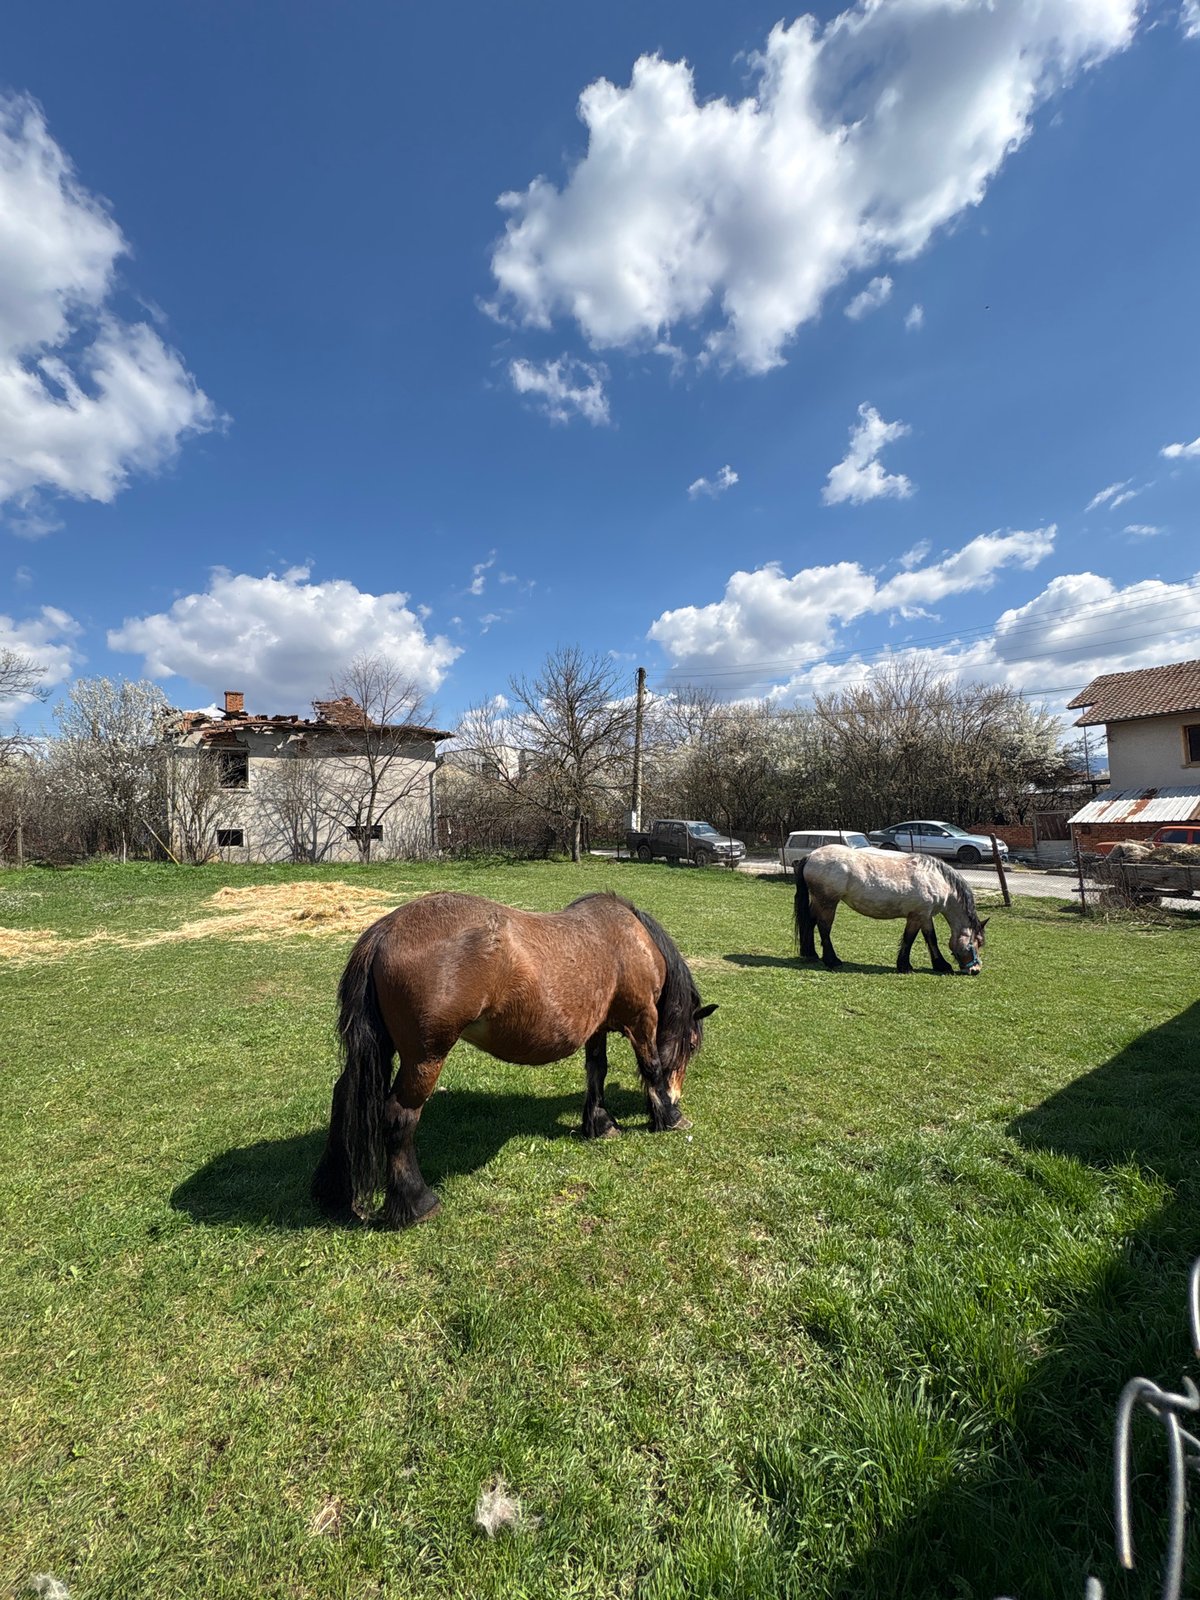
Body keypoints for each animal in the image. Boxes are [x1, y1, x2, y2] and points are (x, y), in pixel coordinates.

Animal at [311, 890, 717, 1228]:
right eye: (692, 1043)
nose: (677, 1096)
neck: (631, 939)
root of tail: (385, 931)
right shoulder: (642, 1018)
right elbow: (651, 1067)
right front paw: (669, 1116)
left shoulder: (597, 1025)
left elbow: (596, 1072)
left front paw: (601, 1123)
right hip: (425, 1057)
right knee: (399, 1116)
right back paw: (417, 1202)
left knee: (344, 1094)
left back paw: (333, 1193)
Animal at [793, 845, 988, 975]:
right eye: (977, 942)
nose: (976, 970)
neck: (937, 879)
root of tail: (810, 856)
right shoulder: (917, 916)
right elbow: (910, 938)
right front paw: (905, 966)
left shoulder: (925, 916)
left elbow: (931, 938)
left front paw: (941, 965)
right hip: (828, 902)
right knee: (824, 928)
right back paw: (832, 961)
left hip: (819, 901)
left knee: (810, 922)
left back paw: (811, 954)